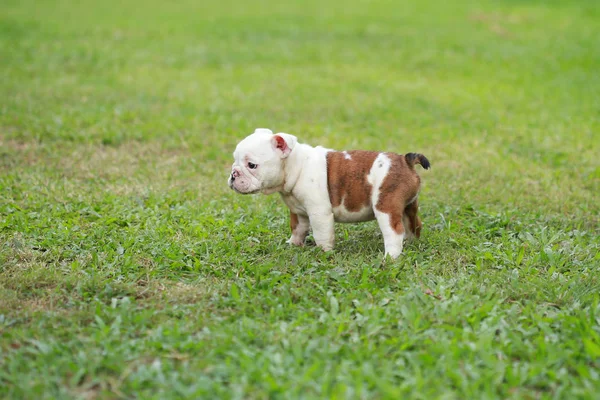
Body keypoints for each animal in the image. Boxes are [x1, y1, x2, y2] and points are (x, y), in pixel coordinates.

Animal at [227, 129, 428, 260]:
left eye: (252, 165)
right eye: (234, 159)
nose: (233, 174)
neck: (296, 166)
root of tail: (405, 160)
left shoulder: (319, 213)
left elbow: (322, 235)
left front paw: (324, 252)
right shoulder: (298, 213)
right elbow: (298, 229)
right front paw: (293, 244)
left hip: (385, 206)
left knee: (394, 232)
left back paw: (390, 257)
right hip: (409, 206)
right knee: (413, 224)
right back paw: (410, 243)